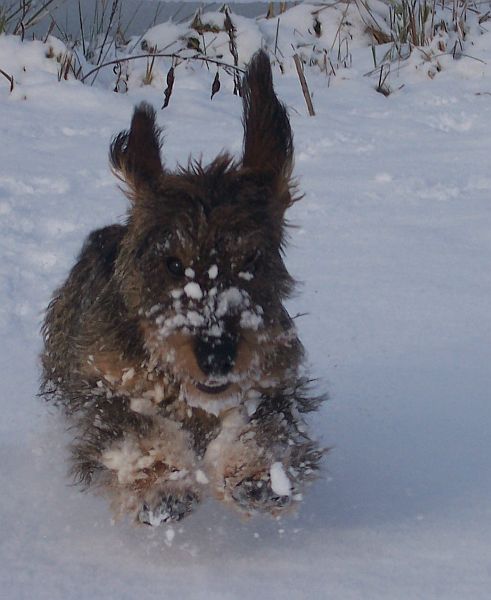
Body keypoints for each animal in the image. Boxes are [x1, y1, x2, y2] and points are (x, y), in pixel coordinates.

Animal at [42, 49, 324, 524]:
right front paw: (161, 483)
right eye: (173, 263)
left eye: (252, 259)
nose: (217, 354)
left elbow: (265, 422)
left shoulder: (274, 381)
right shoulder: (101, 385)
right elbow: (134, 426)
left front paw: (257, 472)